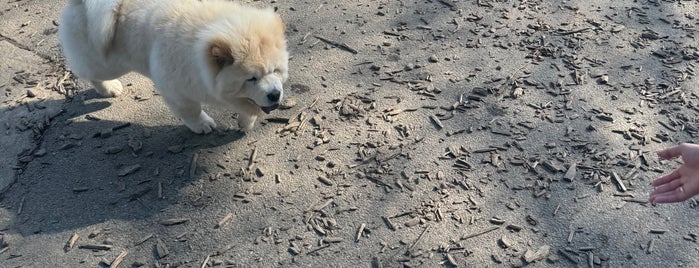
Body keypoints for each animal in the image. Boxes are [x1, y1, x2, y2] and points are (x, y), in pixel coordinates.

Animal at [58, 0, 288, 133]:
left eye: (276, 71)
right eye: (251, 78)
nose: (275, 94)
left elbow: (251, 107)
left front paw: (246, 122)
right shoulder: (176, 91)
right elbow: (191, 111)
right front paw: (202, 125)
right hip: (106, 62)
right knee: (86, 70)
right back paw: (109, 87)